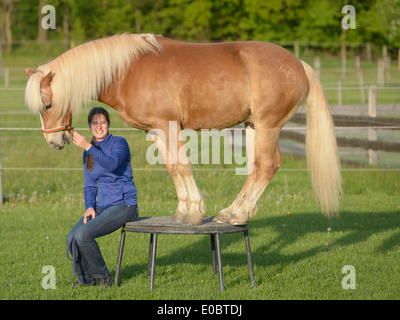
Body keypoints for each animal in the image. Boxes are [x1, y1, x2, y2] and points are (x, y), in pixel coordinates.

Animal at [25, 32, 340, 225]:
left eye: (48, 104)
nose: (55, 141)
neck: (128, 70)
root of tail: (297, 63)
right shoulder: (155, 131)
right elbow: (172, 168)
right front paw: (184, 211)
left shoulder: (170, 126)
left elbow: (183, 165)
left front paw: (194, 213)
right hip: (253, 127)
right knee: (256, 168)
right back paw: (234, 211)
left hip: (267, 126)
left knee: (266, 166)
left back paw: (236, 215)